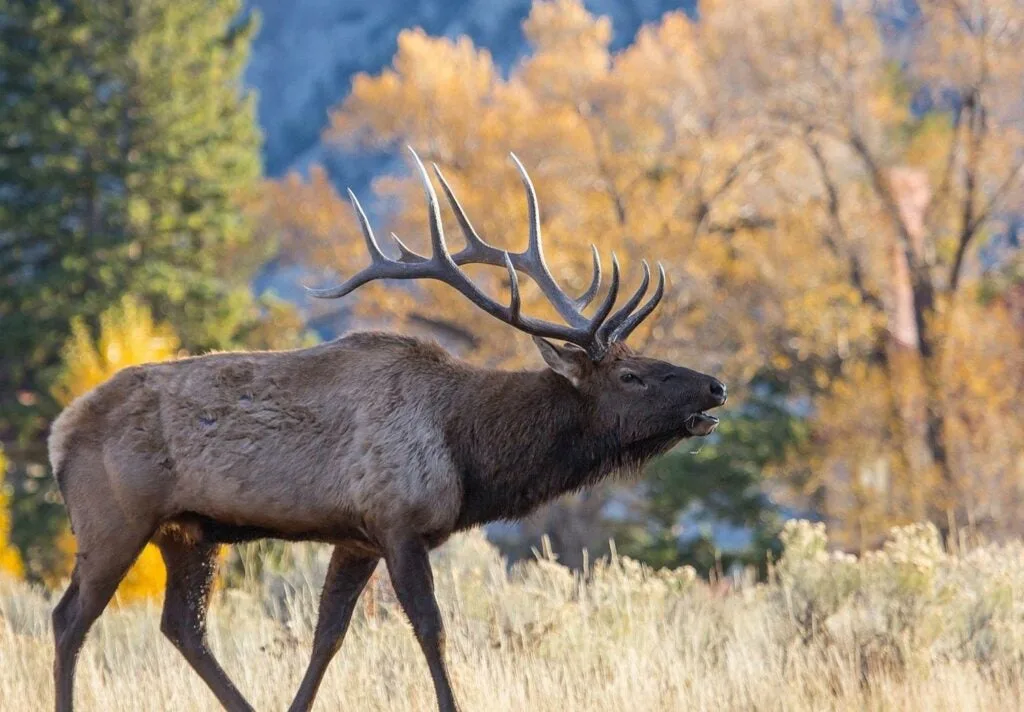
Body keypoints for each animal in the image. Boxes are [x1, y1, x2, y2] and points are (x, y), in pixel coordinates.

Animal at [44, 147, 724, 708]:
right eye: (631, 376)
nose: (715, 385)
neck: (468, 452)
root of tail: (59, 432)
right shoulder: (398, 520)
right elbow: (430, 629)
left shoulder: (357, 536)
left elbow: (328, 634)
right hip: (113, 519)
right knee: (69, 618)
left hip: (188, 530)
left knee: (183, 626)